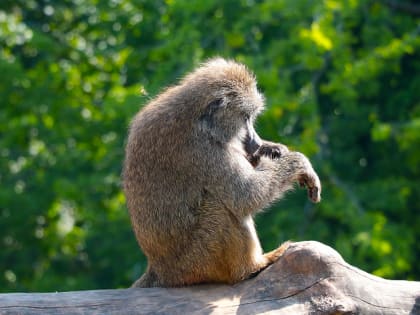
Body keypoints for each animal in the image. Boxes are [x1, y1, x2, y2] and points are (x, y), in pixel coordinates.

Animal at [122, 57, 322, 288]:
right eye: (245, 117)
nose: (255, 141)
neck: (198, 118)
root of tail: (160, 269)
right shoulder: (205, 151)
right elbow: (246, 196)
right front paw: (298, 162)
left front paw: (272, 149)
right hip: (197, 261)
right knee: (219, 205)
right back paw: (252, 267)